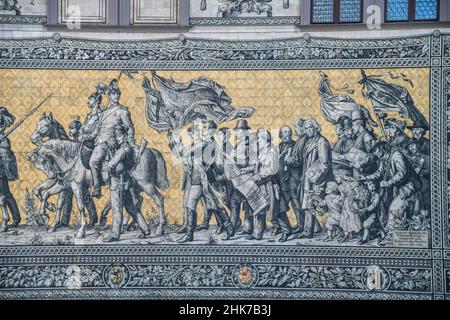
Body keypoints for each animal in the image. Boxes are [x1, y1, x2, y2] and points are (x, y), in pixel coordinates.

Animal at [29, 112, 171, 238]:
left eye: (46, 125)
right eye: (37, 124)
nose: (33, 138)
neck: (71, 157)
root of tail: (150, 150)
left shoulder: (76, 186)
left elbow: (78, 205)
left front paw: (80, 230)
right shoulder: (64, 185)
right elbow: (46, 195)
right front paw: (45, 216)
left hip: (145, 184)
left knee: (158, 199)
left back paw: (158, 228)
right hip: (135, 185)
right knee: (137, 201)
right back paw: (129, 226)